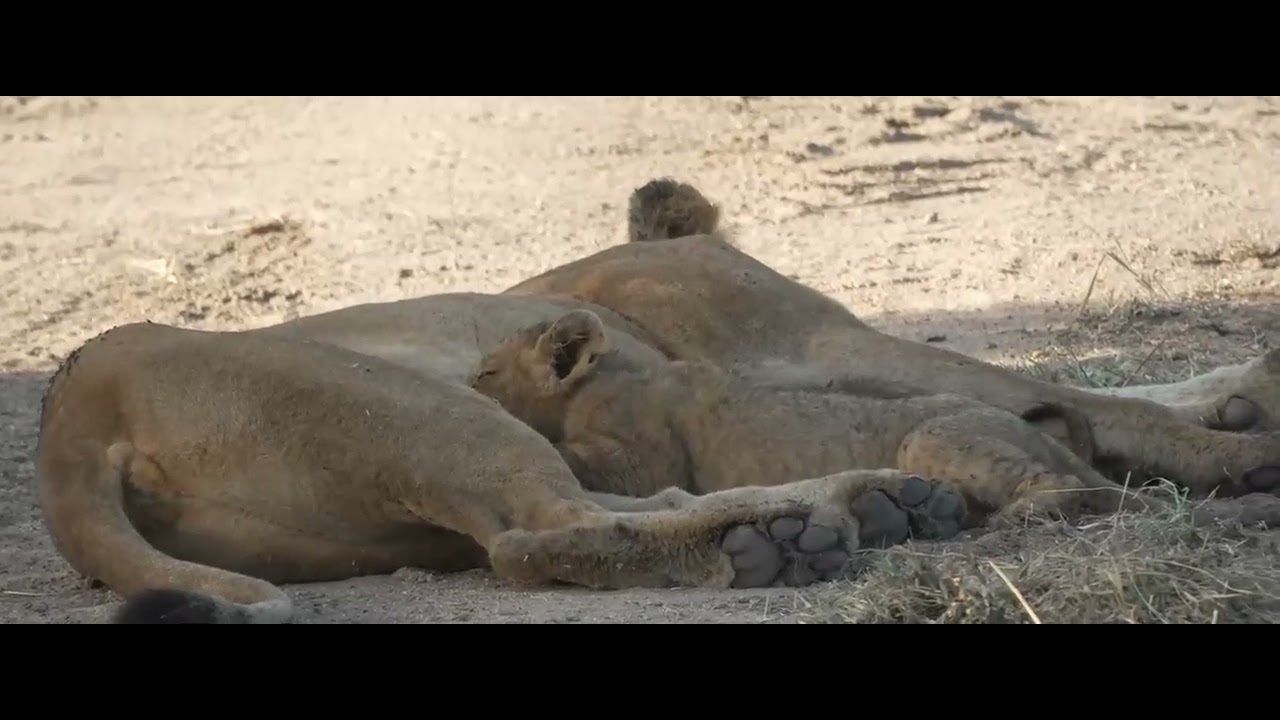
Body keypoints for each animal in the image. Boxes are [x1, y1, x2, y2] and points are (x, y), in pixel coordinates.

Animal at [37, 321, 971, 623]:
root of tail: (74, 409)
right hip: (417, 408)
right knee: (534, 539)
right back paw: (788, 539)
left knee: (577, 521)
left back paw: (873, 506)